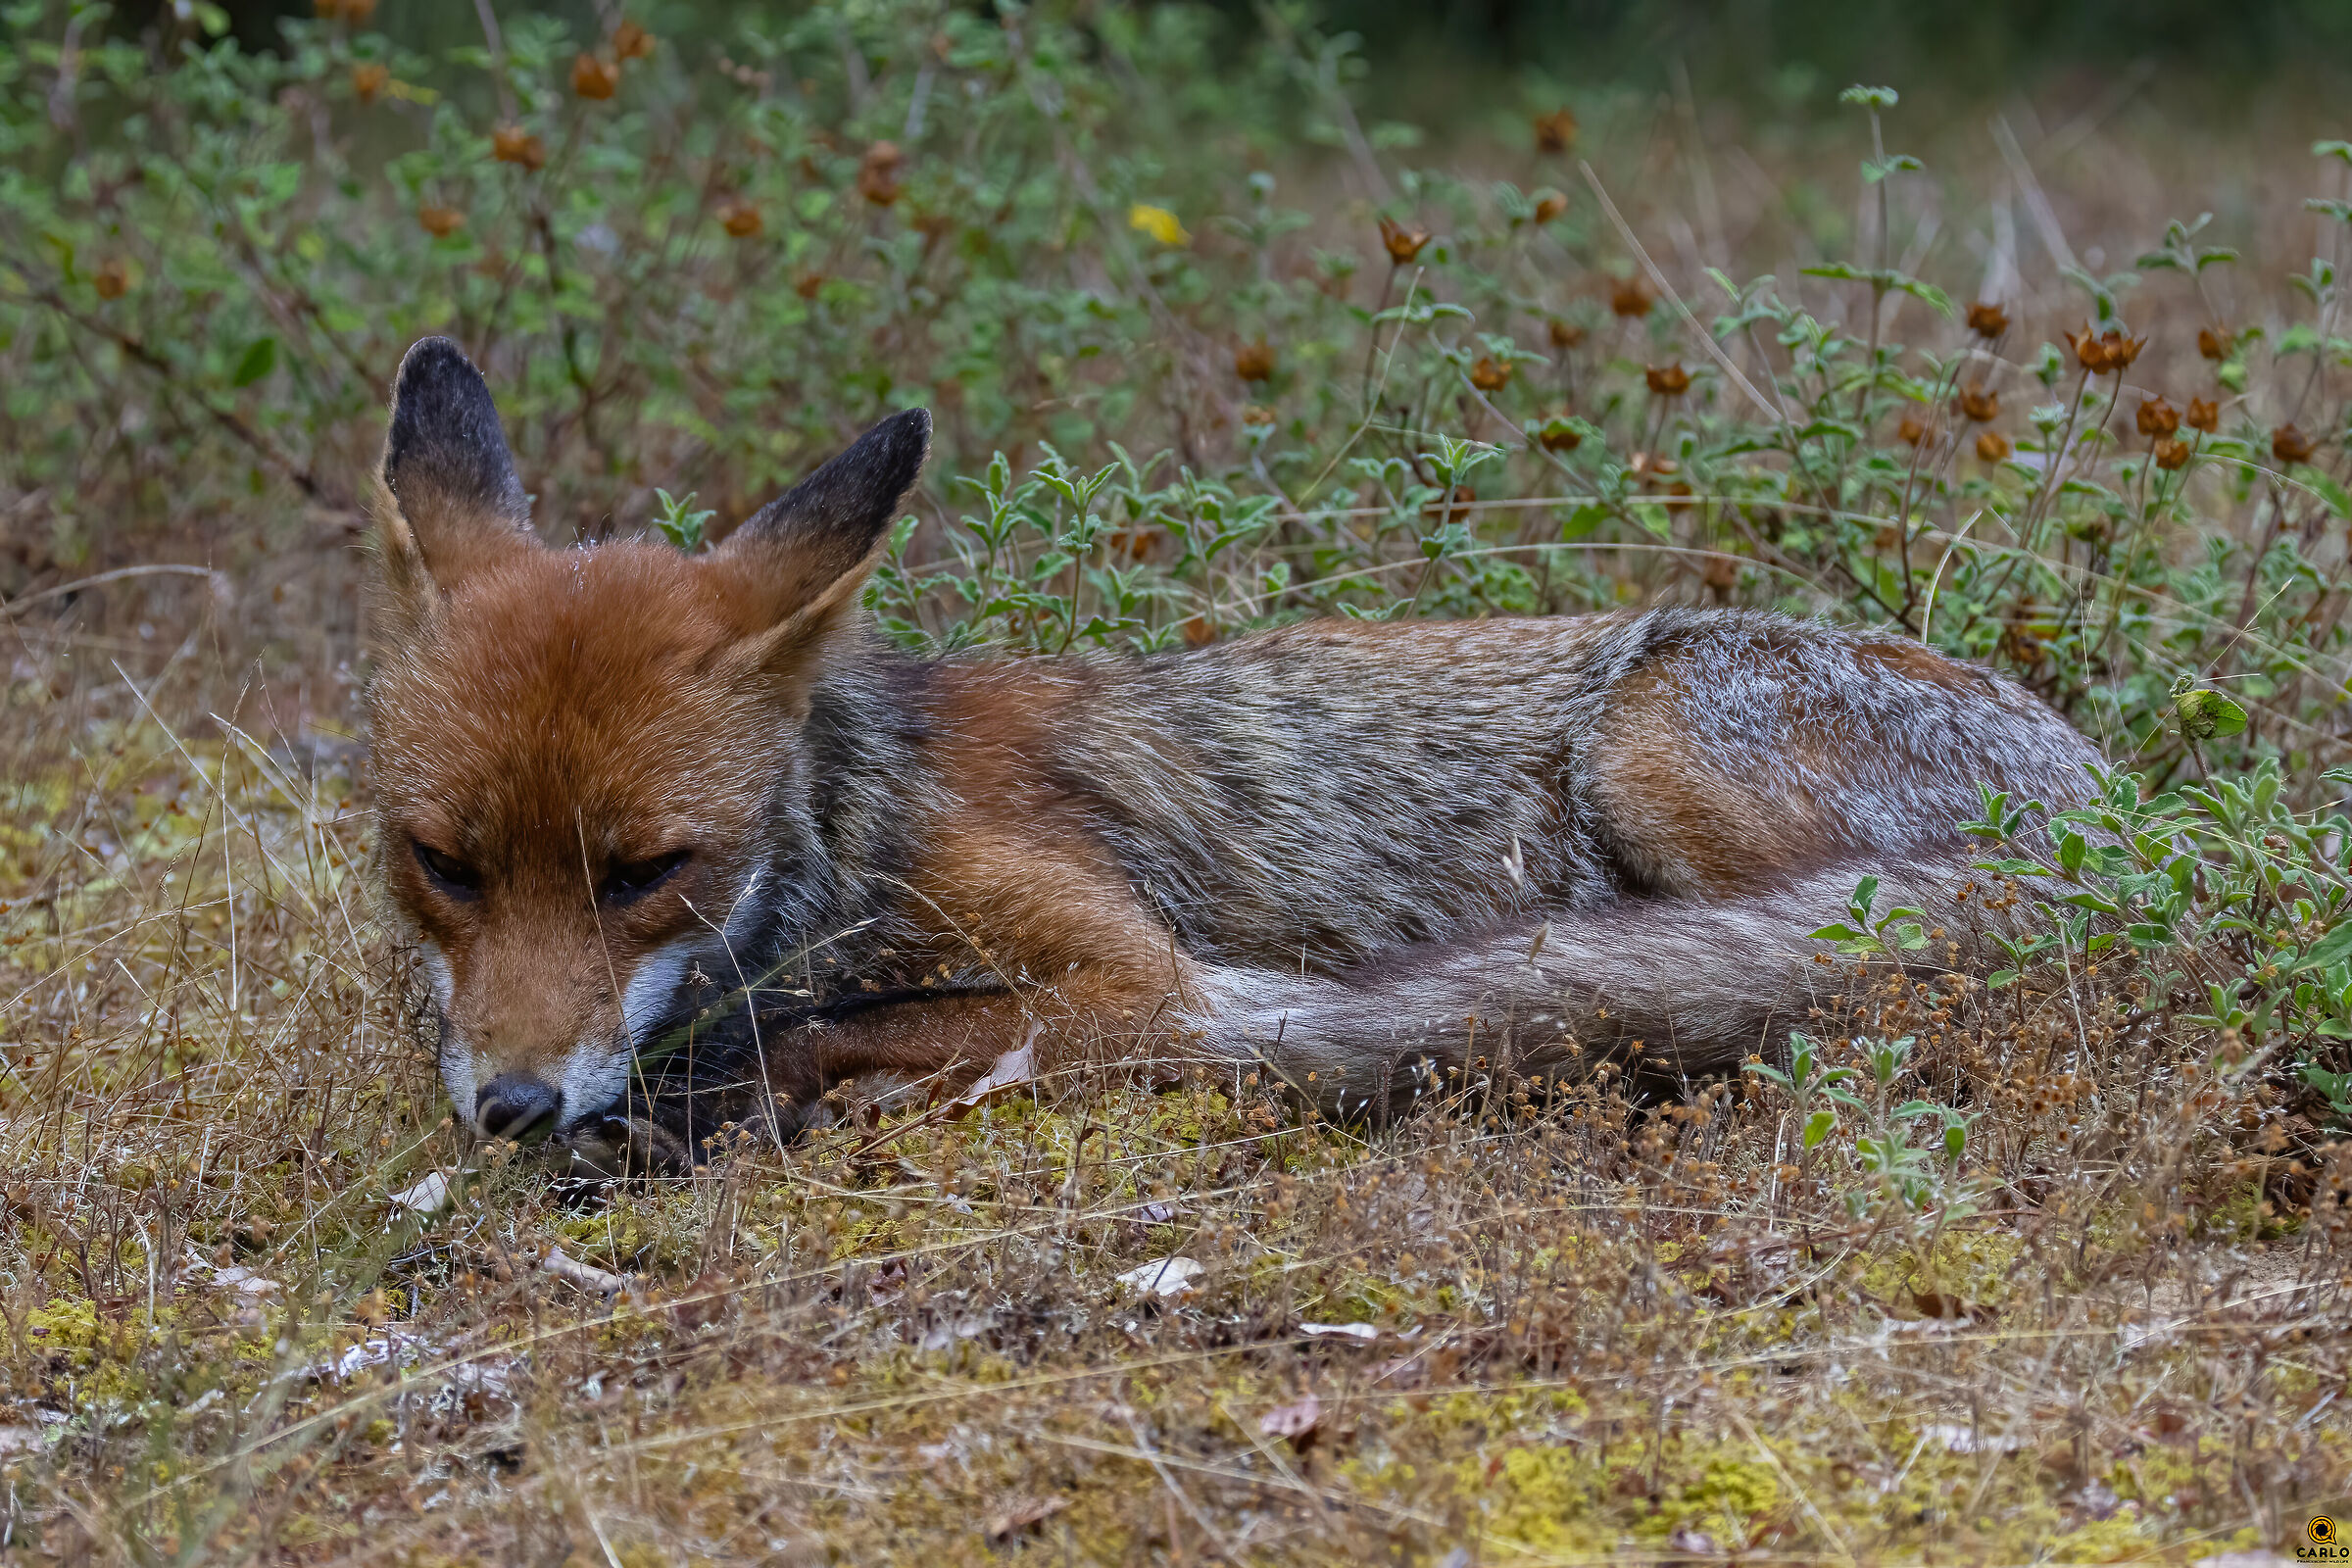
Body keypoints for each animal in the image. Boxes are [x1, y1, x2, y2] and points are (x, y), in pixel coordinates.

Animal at [365, 337, 2102, 1174]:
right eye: (440, 865)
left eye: (648, 874)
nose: (510, 1109)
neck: (850, 841)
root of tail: (2124, 818)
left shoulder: (1144, 988)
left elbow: (875, 1028)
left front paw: (738, 1099)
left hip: (1651, 736)